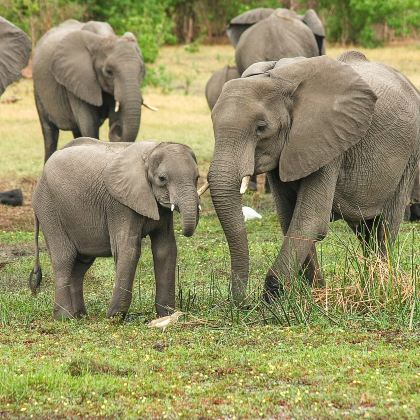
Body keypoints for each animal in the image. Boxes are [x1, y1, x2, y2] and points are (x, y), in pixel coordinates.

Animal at [29, 138, 200, 318]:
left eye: (197, 177)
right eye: (162, 178)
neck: (150, 152)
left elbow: (165, 249)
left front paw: (166, 315)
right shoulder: (119, 204)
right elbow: (128, 249)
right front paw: (114, 317)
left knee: (81, 263)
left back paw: (80, 316)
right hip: (48, 208)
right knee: (64, 258)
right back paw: (65, 318)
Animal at [32, 20, 146, 162]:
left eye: (142, 69)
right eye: (109, 72)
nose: (117, 129)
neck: (104, 38)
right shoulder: (78, 80)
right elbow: (89, 125)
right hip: (38, 89)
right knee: (49, 133)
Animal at [208, 50, 420, 304]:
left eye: (261, 128)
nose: (240, 302)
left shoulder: (328, 142)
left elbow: (310, 220)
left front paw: (273, 298)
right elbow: (289, 218)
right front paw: (315, 295)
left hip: (410, 155)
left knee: (385, 226)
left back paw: (380, 286)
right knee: (364, 229)